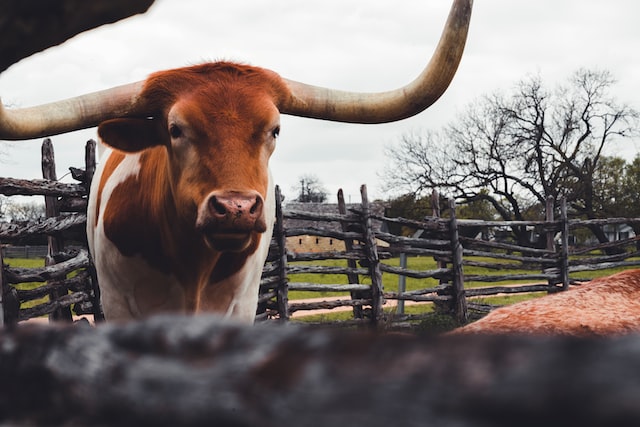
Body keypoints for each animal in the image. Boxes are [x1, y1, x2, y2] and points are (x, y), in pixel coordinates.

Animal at [0, 0, 470, 320]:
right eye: (175, 129)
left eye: (275, 129)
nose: (236, 208)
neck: (191, 267)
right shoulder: (122, 306)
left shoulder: (237, 307)